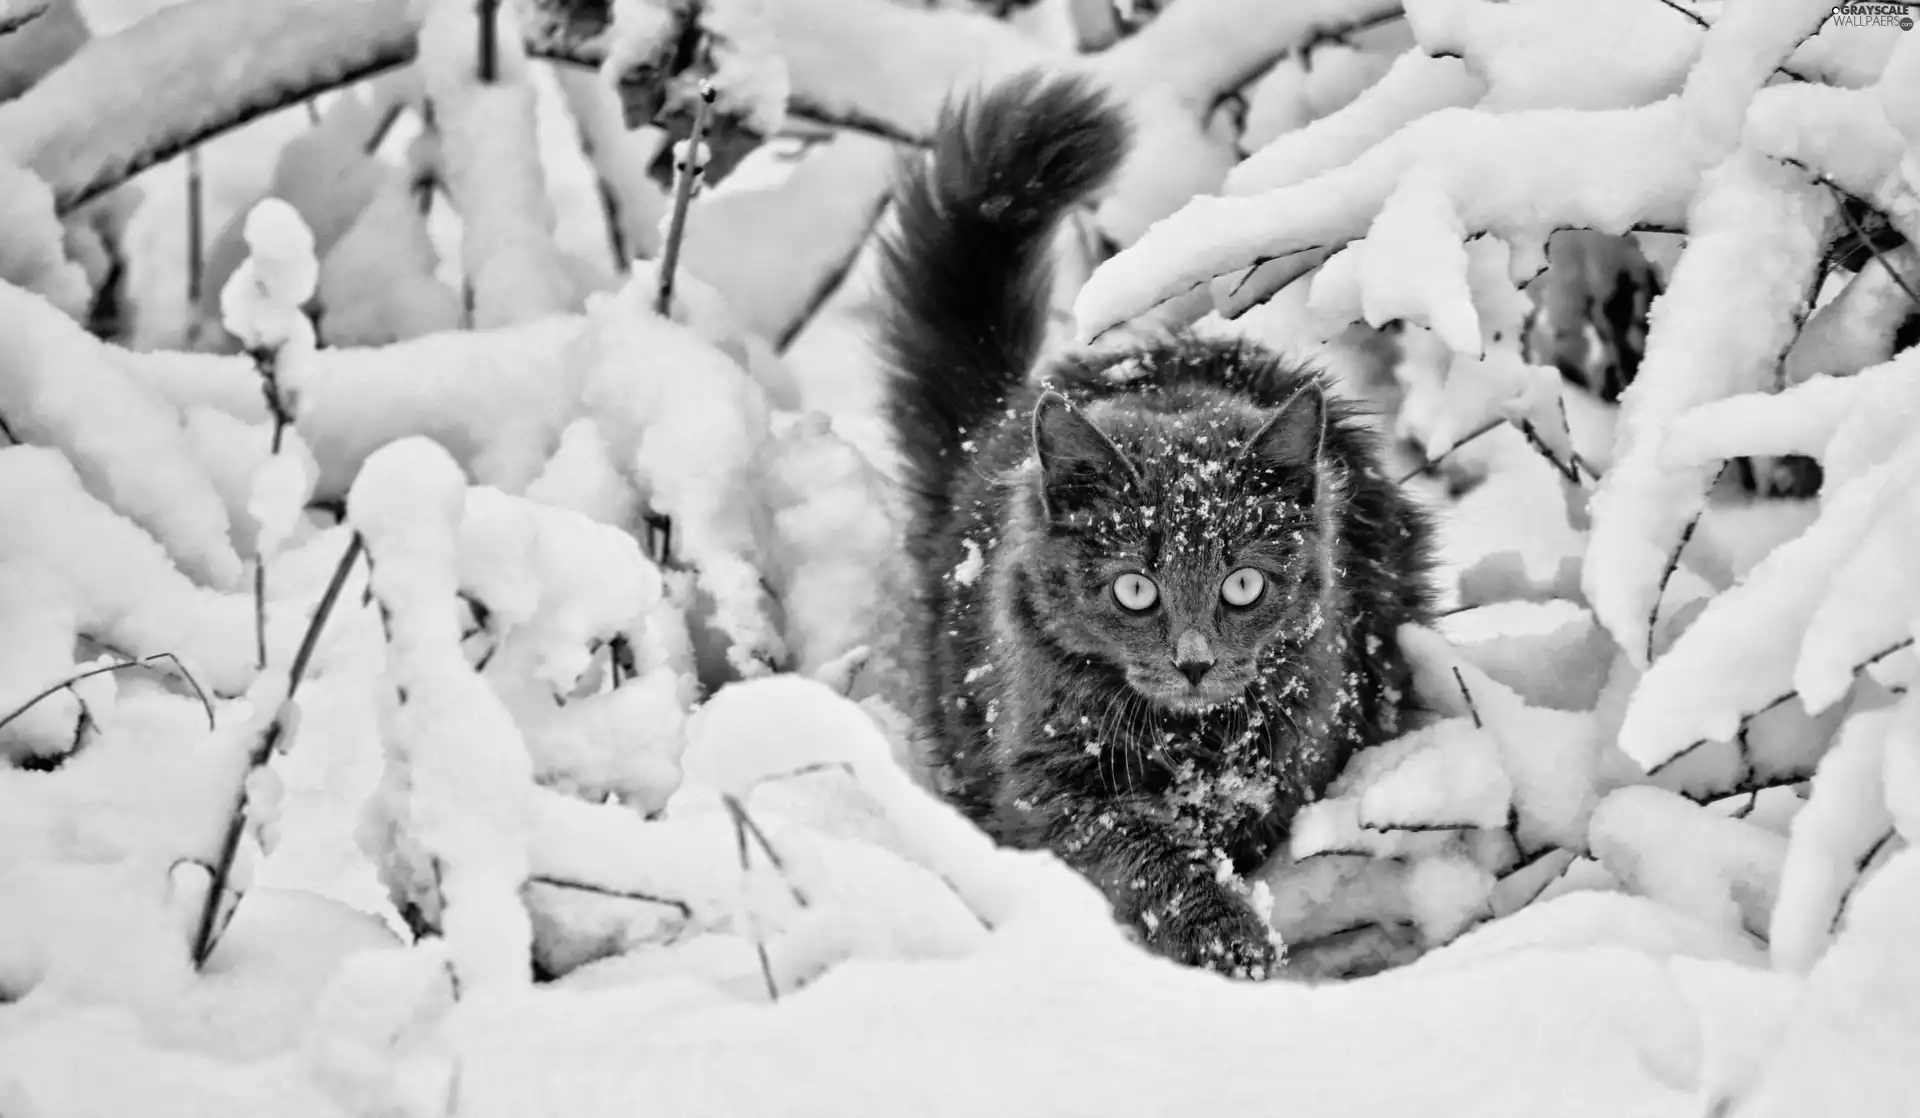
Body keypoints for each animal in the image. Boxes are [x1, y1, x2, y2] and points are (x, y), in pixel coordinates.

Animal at [879, 72, 1436, 983]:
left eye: (1243, 584)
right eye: (1134, 590)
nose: (1195, 661)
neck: (1192, 746)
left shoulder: (1301, 744)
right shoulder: (1049, 780)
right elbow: (1147, 850)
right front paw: (1230, 940)